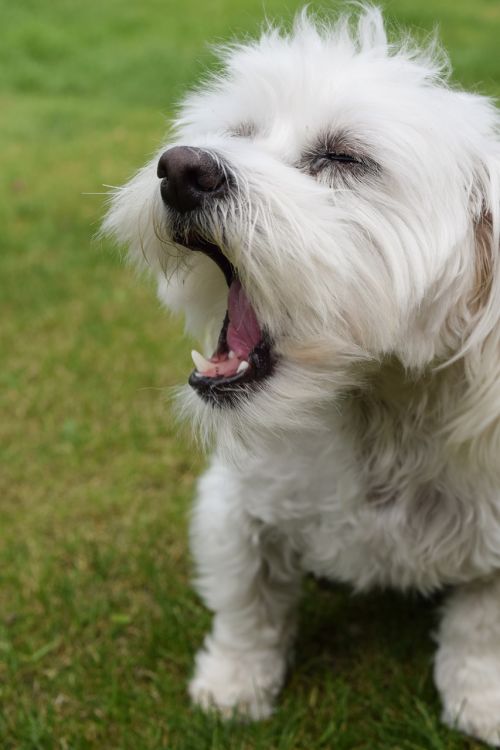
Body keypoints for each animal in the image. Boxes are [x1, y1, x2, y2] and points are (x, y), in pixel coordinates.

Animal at [103, 8, 500, 748]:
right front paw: (234, 685)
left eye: (344, 159)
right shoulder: (238, 502)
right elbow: (248, 606)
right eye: (239, 132)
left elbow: (481, 629)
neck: (373, 416)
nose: (182, 167)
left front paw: (482, 699)